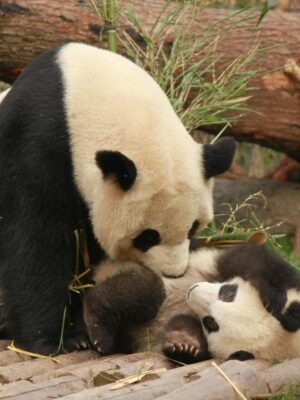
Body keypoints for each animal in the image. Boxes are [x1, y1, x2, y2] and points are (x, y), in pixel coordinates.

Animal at [0, 41, 237, 354]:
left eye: (192, 228)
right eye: (147, 236)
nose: (173, 273)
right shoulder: (35, 143)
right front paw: (54, 340)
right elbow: (35, 241)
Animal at [83, 244, 300, 362]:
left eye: (211, 323)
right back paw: (99, 332)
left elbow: (186, 328)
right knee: (143, 291)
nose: (192, 291)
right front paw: (272, 295)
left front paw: (185, 345)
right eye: (228, 294)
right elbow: (252, 259)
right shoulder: (216, 263)